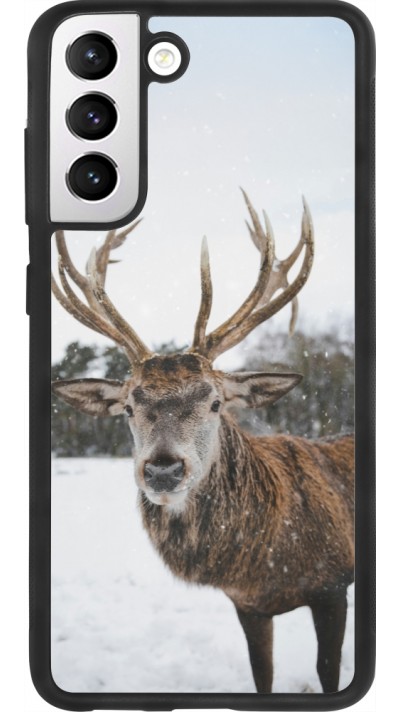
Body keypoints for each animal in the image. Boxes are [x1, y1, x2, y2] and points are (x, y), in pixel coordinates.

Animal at [52, 190, 354, 694]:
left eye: (215, 402)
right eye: (128, 407)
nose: (163, 468)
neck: (266, 563)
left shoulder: (333, 585)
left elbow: (328, 672)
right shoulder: (247, 605)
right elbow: (262, 675)